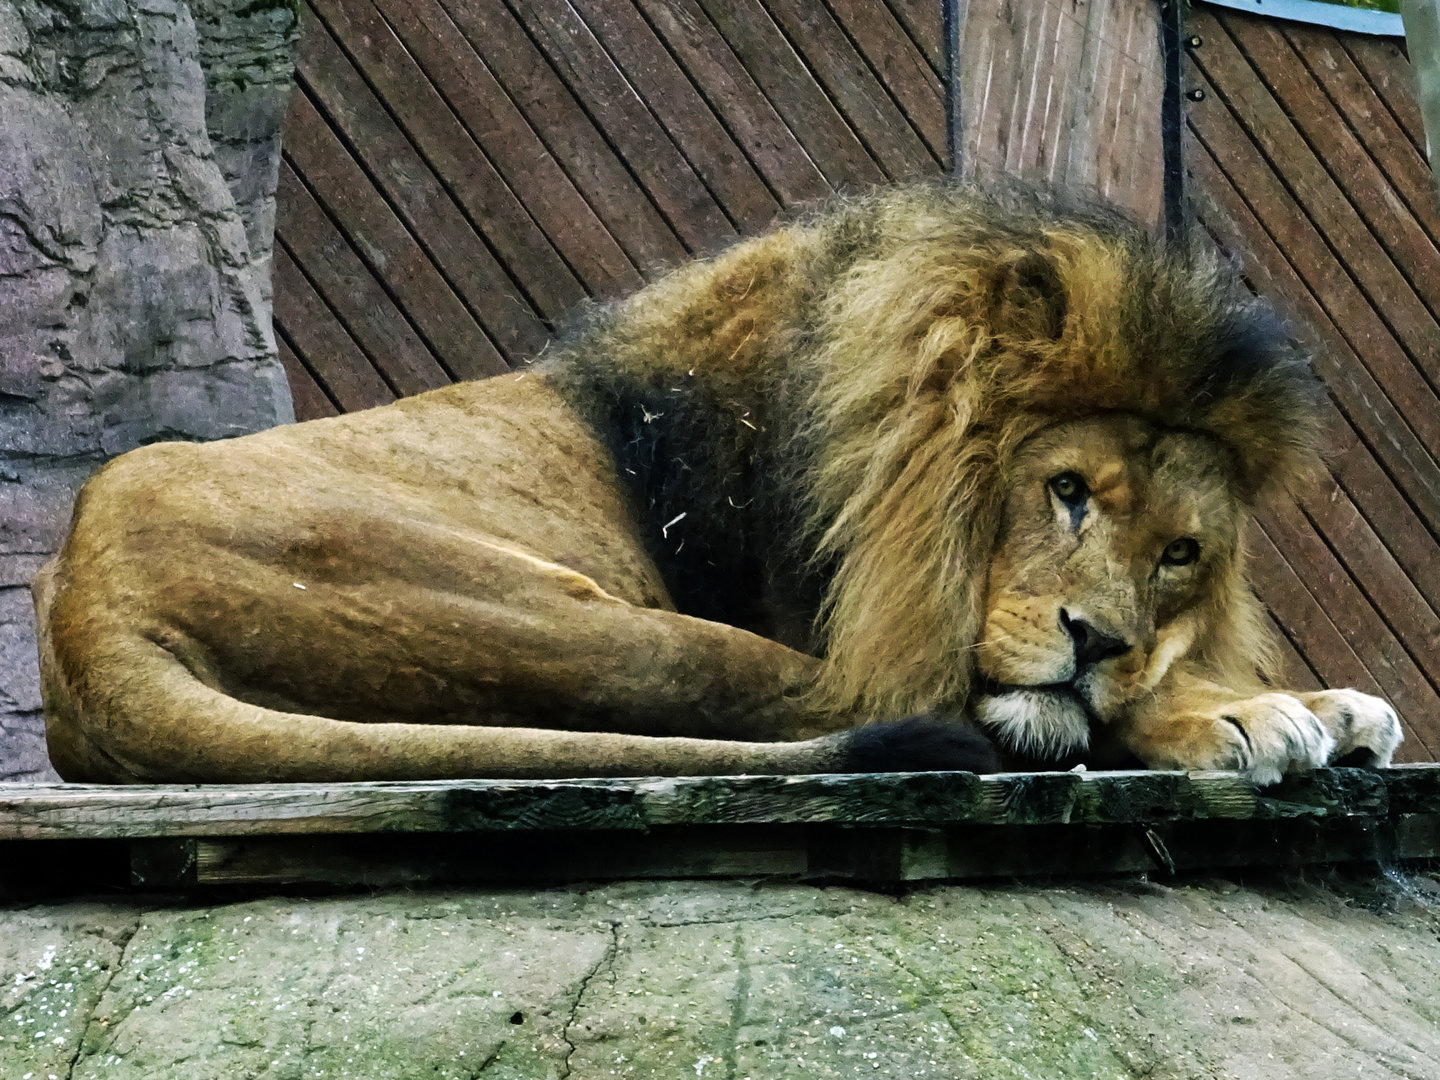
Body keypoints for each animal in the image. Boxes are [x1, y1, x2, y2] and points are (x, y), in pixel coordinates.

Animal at [33, 182, 1401, 785]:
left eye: (1181, 554)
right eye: (1066, 489)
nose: (1101, 639)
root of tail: (86, 626)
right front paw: (1252, 709)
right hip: (591, 623)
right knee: (879, 712)